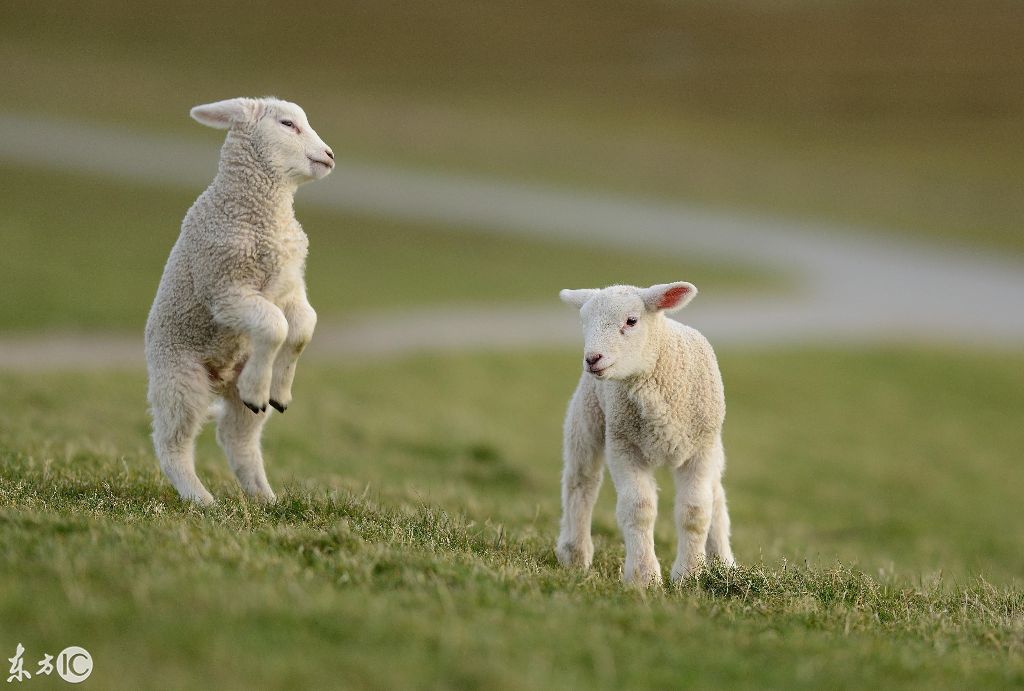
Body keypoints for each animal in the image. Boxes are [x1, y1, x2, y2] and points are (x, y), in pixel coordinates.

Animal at [144, 97, 333, 505]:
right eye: (287, 124)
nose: (329, 155)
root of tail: (220, 378)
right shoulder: (226, 290)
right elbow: (274, 326)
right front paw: (269, 386)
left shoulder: (290, 287)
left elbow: (302, 328)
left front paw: (280, 391)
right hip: (180, 379)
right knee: (173, 442)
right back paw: (200, 498)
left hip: (232, 383)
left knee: (237, 438)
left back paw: (266, 496)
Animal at [552, 284, 737, 585]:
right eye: (584, 322)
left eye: (631, 321)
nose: (592, 359)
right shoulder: (623, 445)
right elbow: (639, 509)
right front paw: (644, 577)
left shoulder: (701, 449)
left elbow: (696, 511)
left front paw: (689, 574)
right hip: (587, 416)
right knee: (581, 482)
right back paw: (574, 554)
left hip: (713, 445)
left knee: (716, 494)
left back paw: (724, 562)